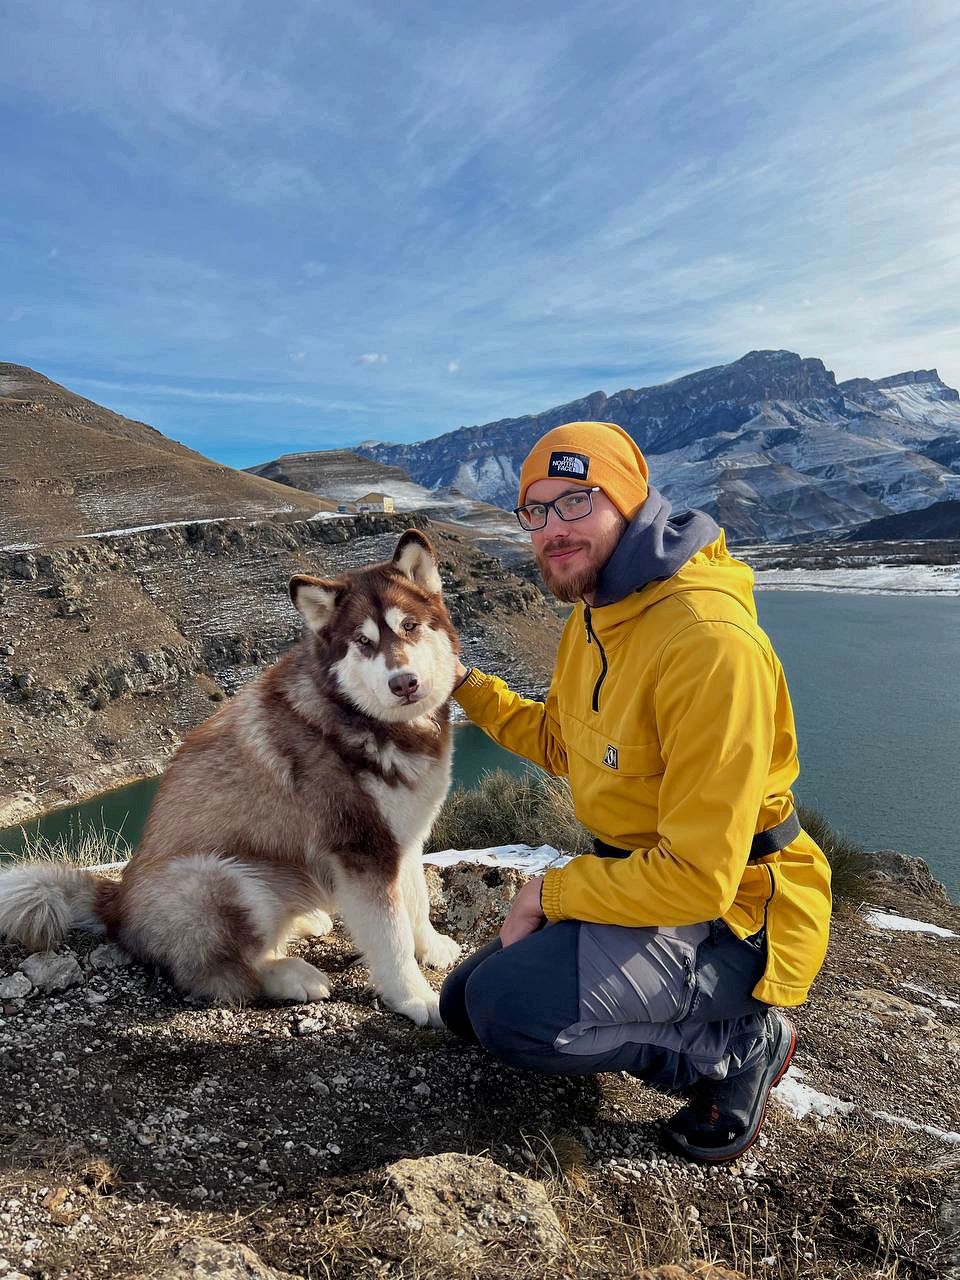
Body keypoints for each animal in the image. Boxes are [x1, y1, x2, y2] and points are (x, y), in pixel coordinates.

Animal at [0, 529, 465, 1029]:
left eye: (410, 626)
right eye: (363, 640)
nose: (404, 683)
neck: (365, 719)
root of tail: (116, 903)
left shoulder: (401, 836)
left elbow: (416, 901)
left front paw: (431, 946)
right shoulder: (361, 849)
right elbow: (391, 936)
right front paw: (416, 998)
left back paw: (306, 922)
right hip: (223, 879)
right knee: (228, 973)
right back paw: (291, 975)